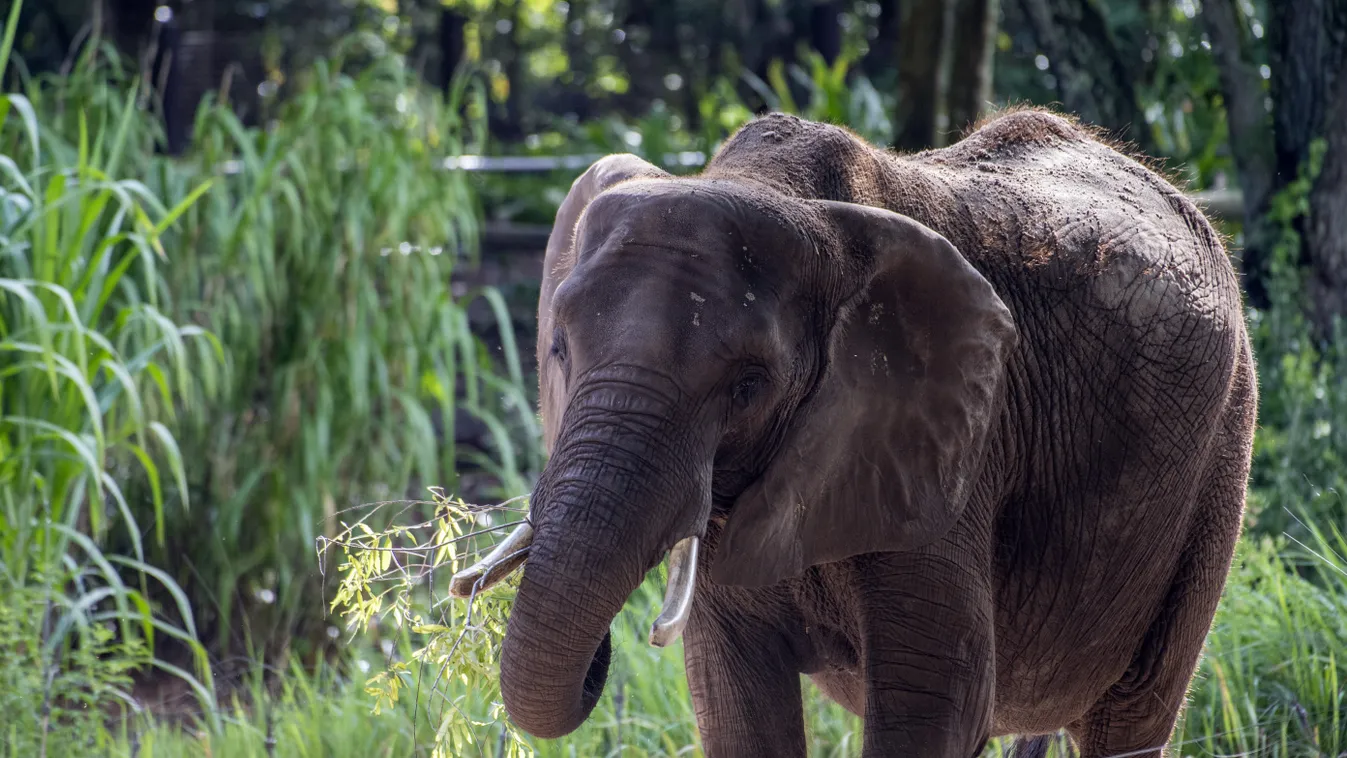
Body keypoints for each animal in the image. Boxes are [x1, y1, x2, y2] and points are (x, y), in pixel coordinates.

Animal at [455, 108, 1260, 758]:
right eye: (558, 347)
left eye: (748, 385)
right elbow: (735, 702)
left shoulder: (955, 447)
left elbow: (938, 703)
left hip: (1223, 448)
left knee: (1131, 713)